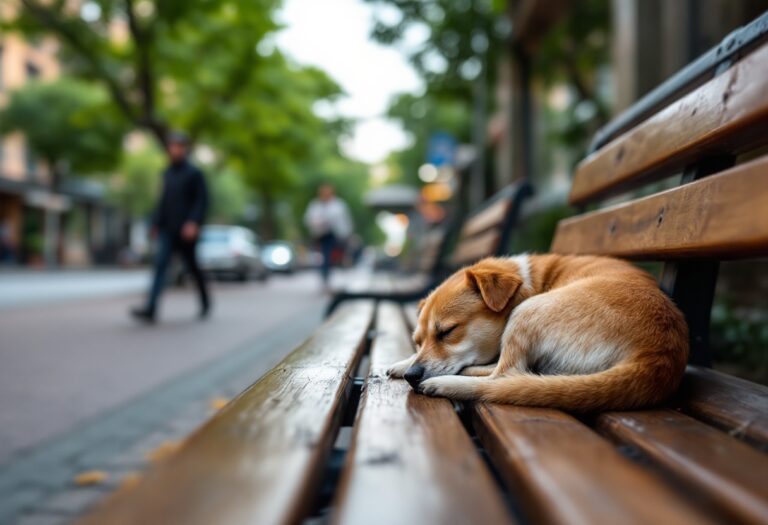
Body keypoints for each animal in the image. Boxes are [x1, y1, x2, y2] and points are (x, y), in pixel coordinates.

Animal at [388, 256, 688, 412]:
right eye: (417, 341)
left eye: (448, 331)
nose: (412, 375)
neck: (528, 280)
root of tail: (659, 355)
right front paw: (403, 363)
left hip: (527, 312)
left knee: (505, 375)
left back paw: (450, 381)